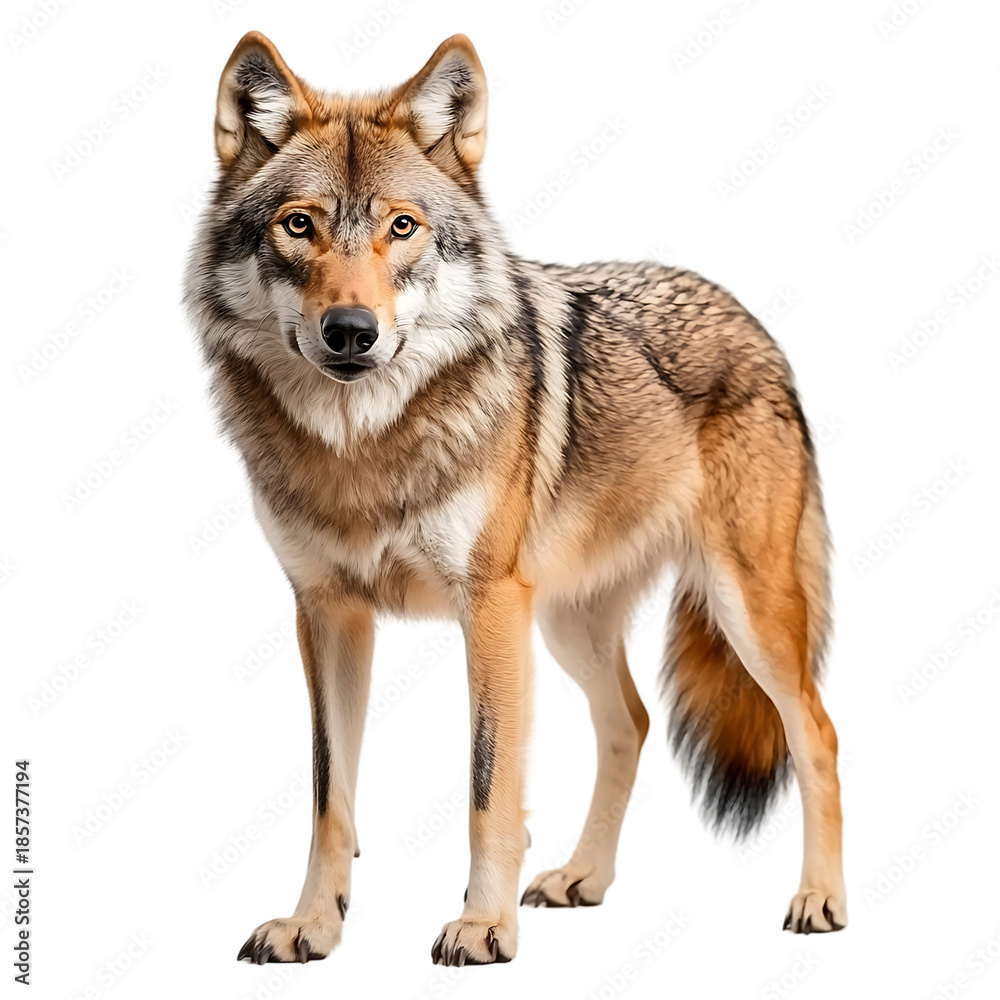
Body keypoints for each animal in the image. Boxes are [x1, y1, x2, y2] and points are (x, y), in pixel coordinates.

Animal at [184, 31, 847, 966]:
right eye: (299, 225)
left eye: (402, 227)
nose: (350, 331)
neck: (362, 451)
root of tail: (752, 322)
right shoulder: (326, 612)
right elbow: (328, 796)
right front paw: (313, 924)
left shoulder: (489, 606)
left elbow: (487, 785)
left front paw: (483, 925)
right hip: (569, 624)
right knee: (631, 722)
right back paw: (583, 879)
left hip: (743, 611)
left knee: (815, 731)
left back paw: (821, 898)